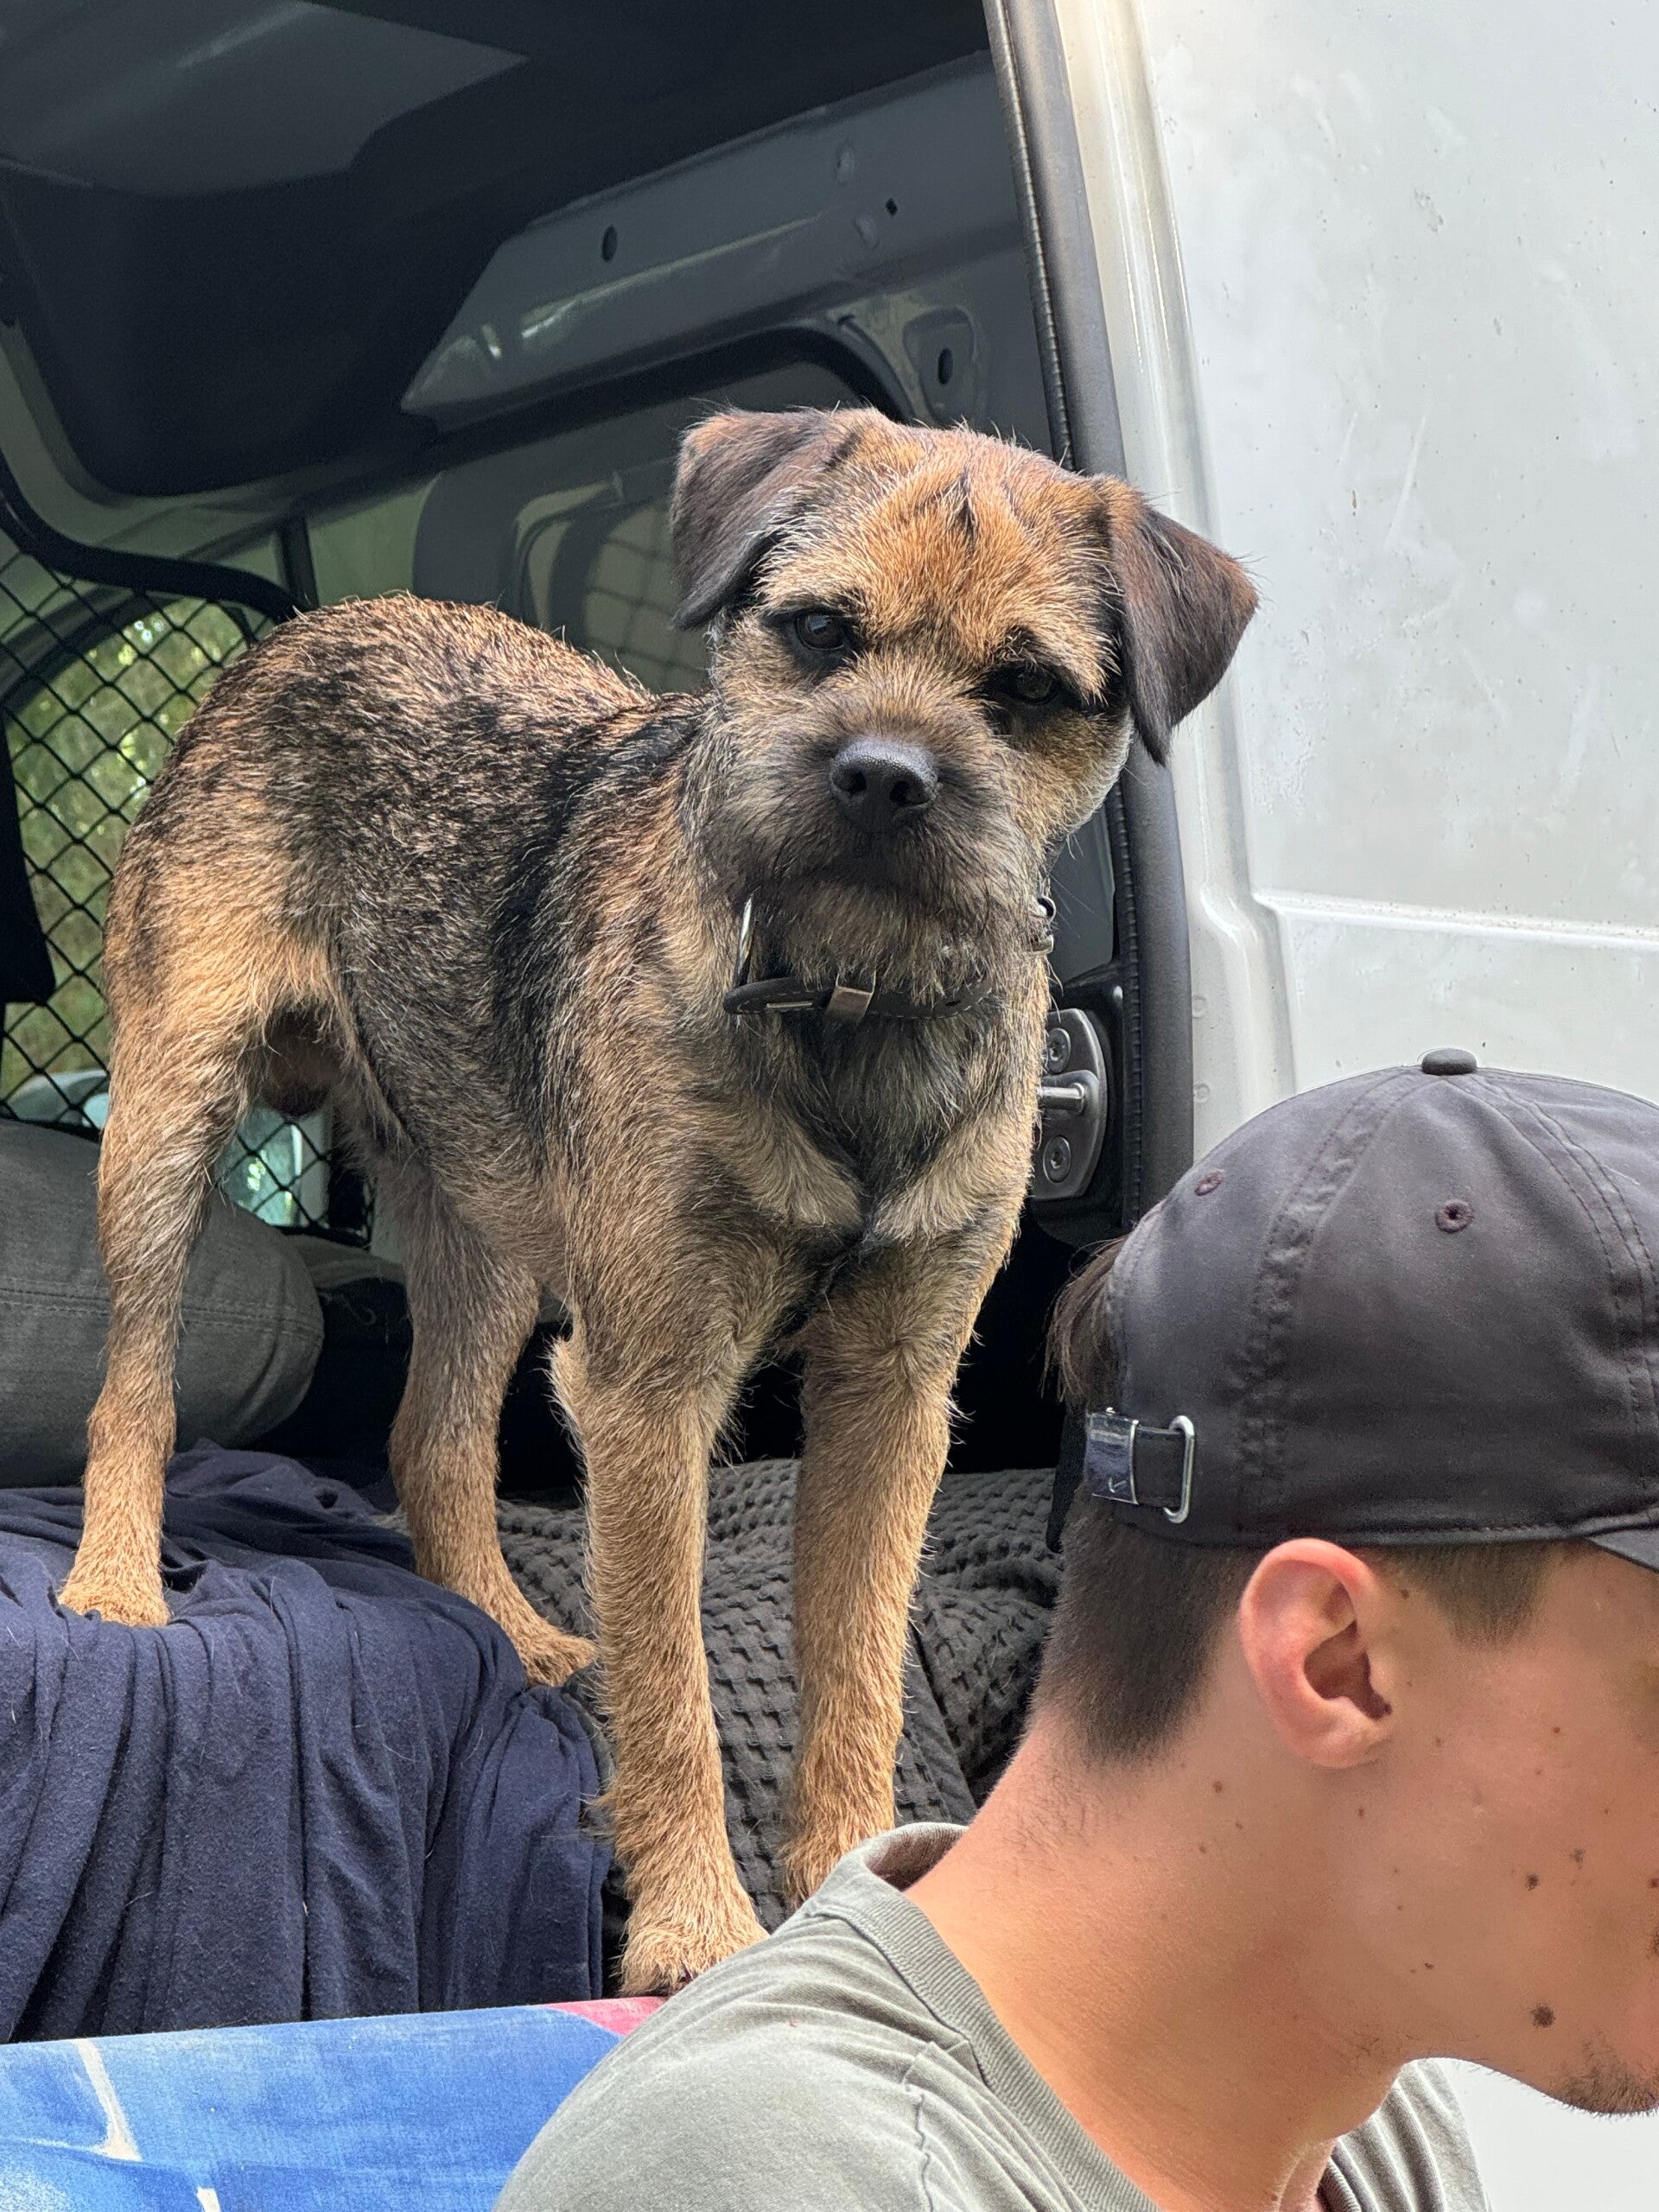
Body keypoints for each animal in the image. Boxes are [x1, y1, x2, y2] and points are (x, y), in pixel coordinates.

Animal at [59, 407, 1254, 1991]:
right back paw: (116, 1584)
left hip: (487, 1223)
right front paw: (695, 1926)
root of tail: (310, 629)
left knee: (434, 1438)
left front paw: (849, 1874)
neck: (843, 1006)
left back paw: (510, 1627)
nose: (883, 777)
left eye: (1024, 689)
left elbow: (859, 1660)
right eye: (817, 630)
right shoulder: (649, 1386)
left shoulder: (892, 1392)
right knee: (133, 1383)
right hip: (169, 1119)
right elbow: (673, 1678)